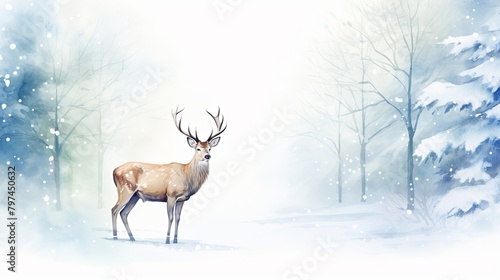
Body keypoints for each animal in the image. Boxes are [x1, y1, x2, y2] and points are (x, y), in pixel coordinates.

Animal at [111, 107, 227, 243]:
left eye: (210, 148)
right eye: (198, 148)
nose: (207, 156)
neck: (187, 176)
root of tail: (114, 171)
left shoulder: (182, 199)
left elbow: (178, 218)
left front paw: (175, 240)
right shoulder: (171, 194)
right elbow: (170, 218)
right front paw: (167, 240)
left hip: (135, 196)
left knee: (123, 213)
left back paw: (132, 238)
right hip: (125, 189)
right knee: (114, 210)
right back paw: (115, 237)